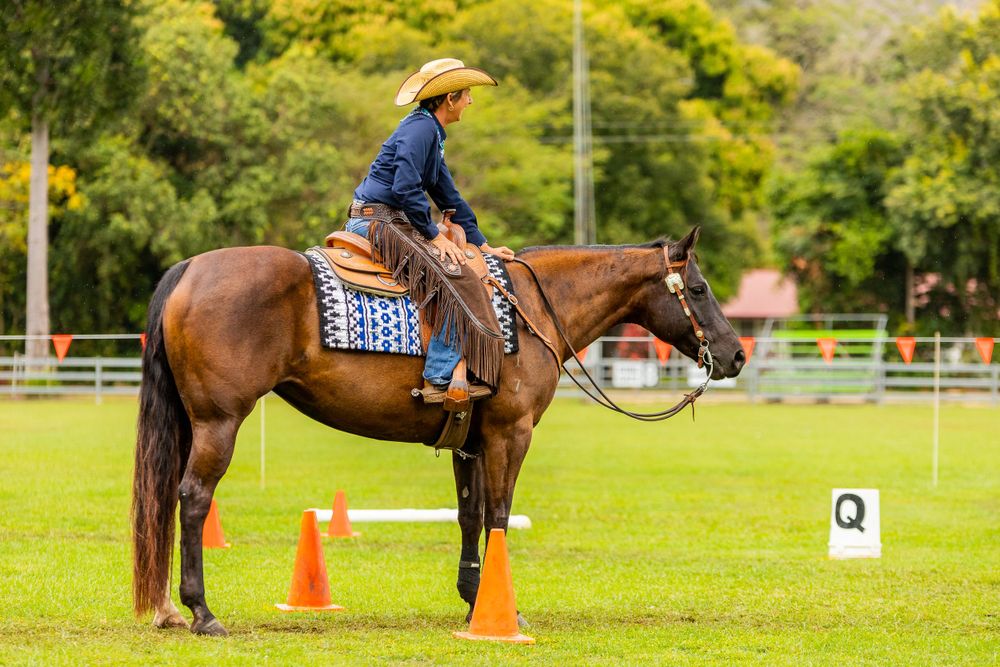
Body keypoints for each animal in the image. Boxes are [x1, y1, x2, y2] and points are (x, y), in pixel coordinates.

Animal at [131, 226, 746, 636]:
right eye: (698, 289)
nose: (736, 355)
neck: (532, 309)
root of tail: (190, 269)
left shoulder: (468, 442)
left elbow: (470, 516)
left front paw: (475, 600)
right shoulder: (510, 435)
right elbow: (499, 514)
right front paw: (503, 610)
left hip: (190, 423)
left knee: (166, 498)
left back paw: (167, 609)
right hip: (219, 422)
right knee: (193, 498)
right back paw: (201, 612)